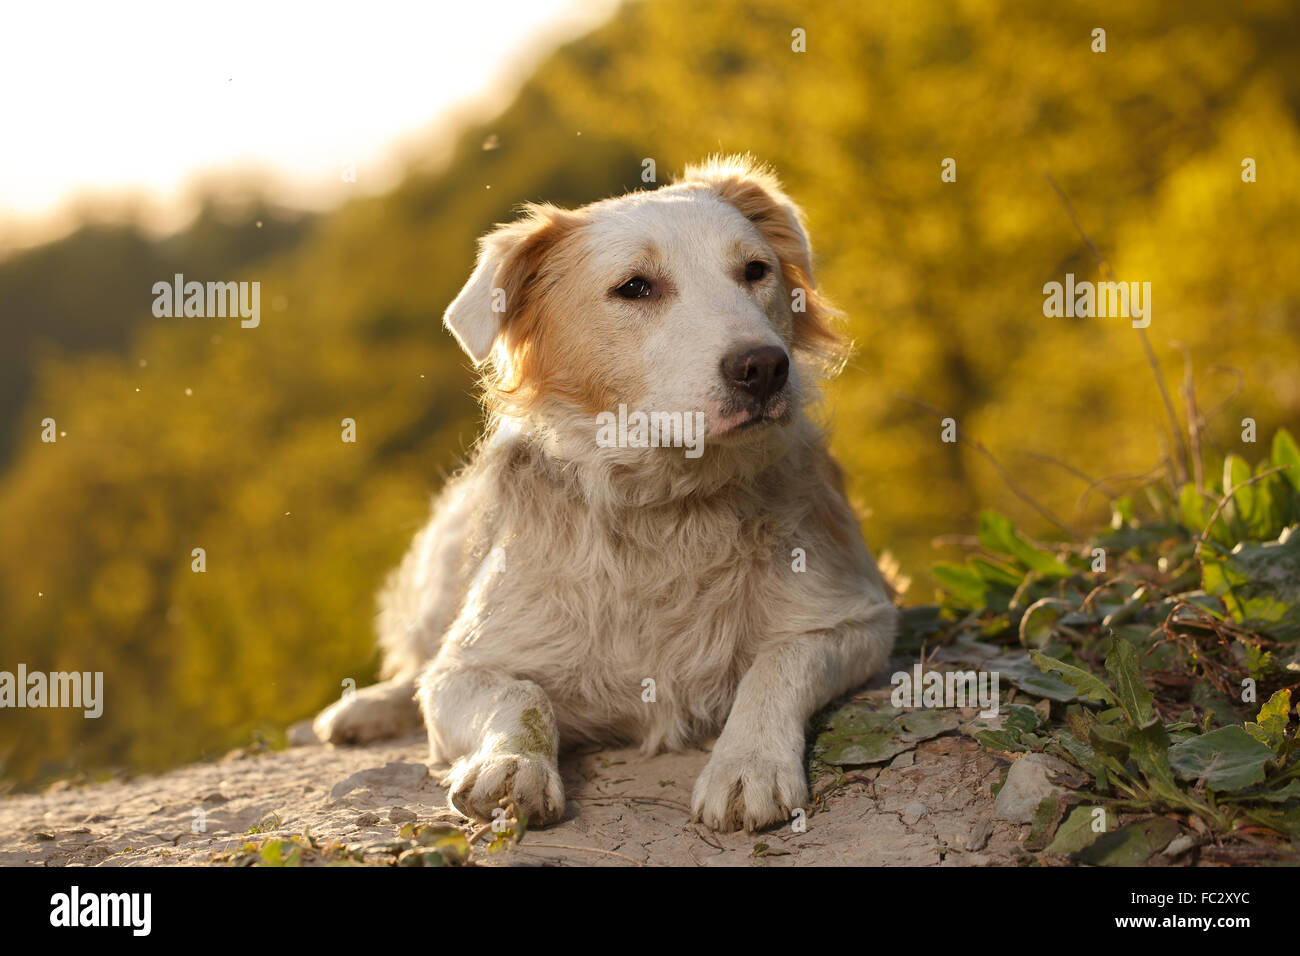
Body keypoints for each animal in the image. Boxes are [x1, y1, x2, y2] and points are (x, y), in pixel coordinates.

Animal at [317, 155, 894, 832]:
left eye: (755, 271)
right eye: (636, 288)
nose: (764, 368)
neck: (668, 507)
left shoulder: (858, 617)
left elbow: (775, 665)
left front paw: (748, 765)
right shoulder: (465, 667)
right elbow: (519, 694)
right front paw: (512, 766)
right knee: (414, 663)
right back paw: (363, 709)